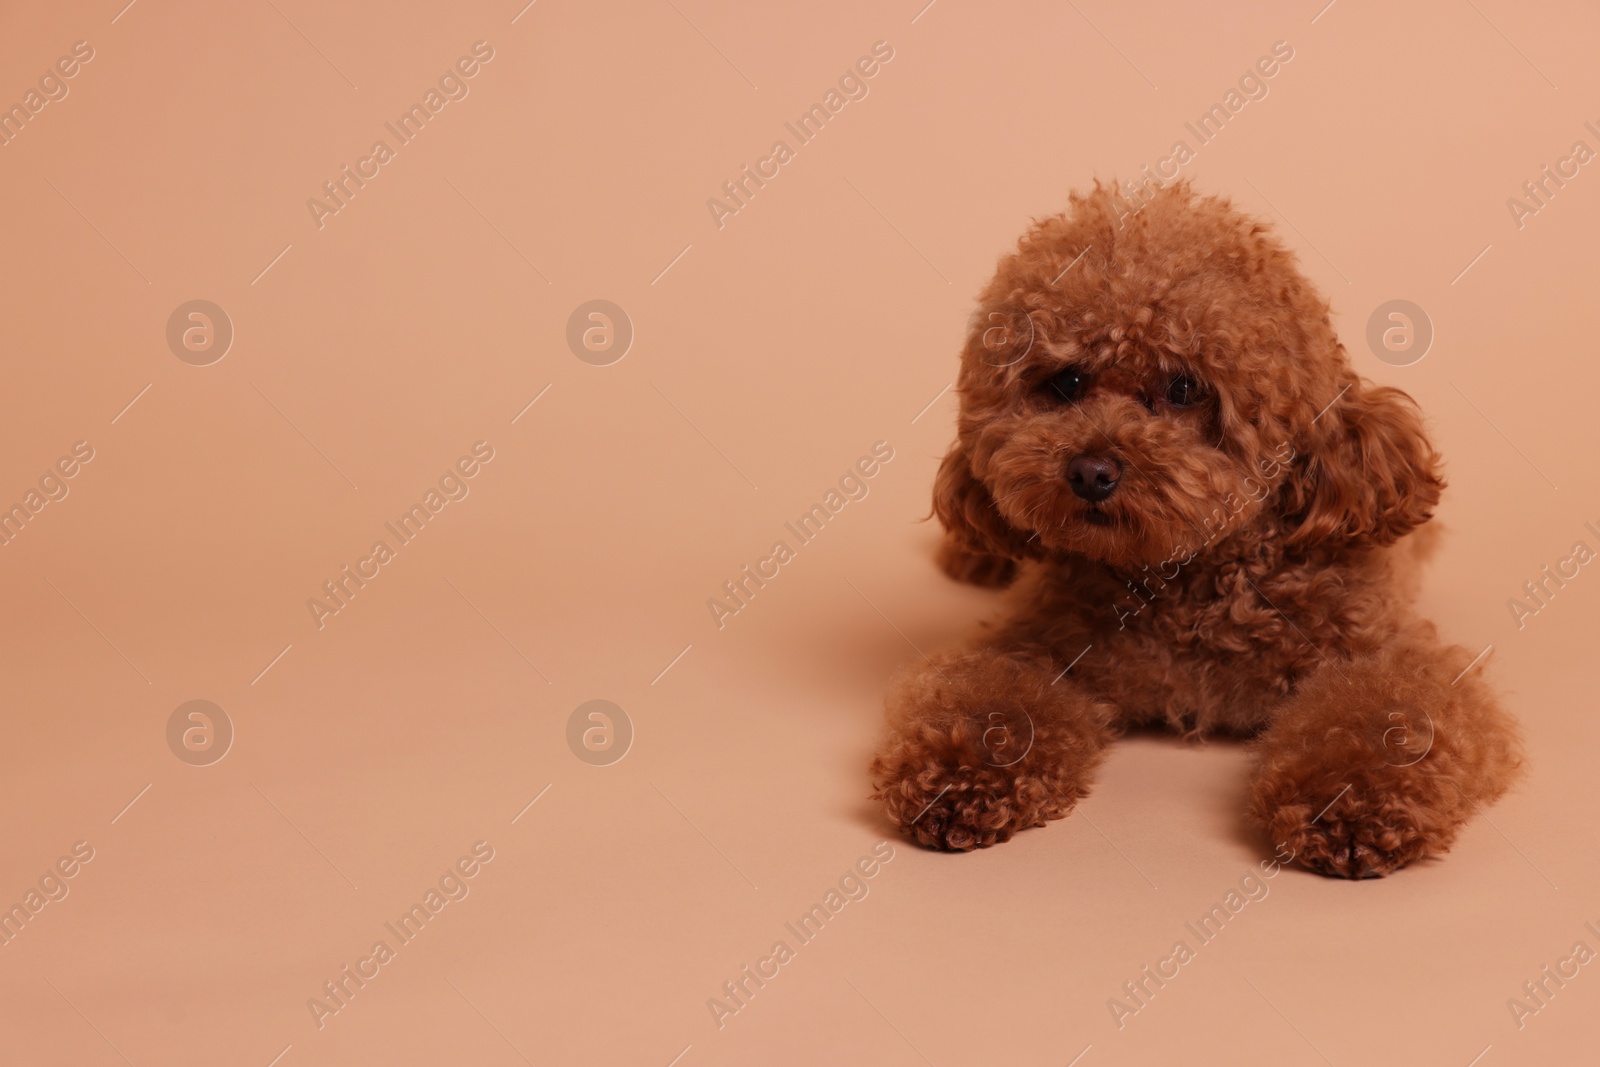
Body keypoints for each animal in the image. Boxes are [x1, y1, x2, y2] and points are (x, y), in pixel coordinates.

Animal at [870, 179, 1516, 876]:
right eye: (1067, 382)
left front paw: (1350, 800)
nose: (1091, 471)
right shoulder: (1033, 643)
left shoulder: (1381, 649)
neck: (1185, 585)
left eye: (1183, 388)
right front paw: (955, 776)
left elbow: (1387, 712)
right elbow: (988, 694)